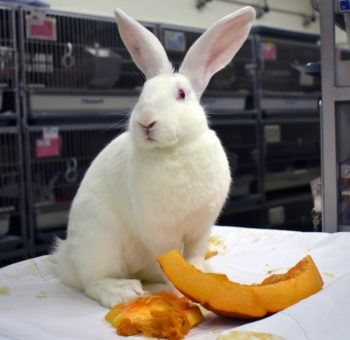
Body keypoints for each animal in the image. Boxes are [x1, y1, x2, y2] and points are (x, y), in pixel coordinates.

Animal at [54, 5, 256, 308]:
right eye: (142, 95)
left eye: (181, 94)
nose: (146, 121)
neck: (175, 150)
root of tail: (68, 262)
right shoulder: (160, 232)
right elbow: (172, 264)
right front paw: (181, 294)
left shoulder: (201, 226)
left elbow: (193, 257)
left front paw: (200, 280)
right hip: (100, 240)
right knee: (93, 283)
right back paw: (123, 291)